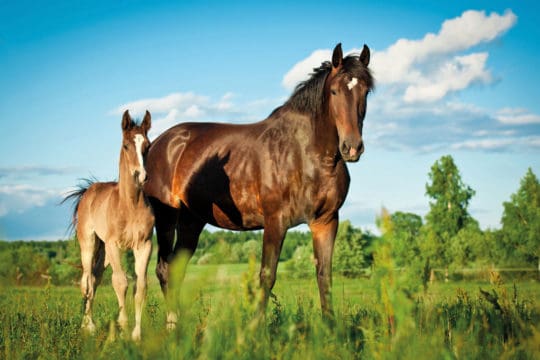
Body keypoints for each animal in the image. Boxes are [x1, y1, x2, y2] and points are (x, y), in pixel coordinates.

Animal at [65, 111, 155, 342]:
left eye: (147, 145)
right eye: (126, 145)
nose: (141, 176)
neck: (130, 205)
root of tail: (89, 190)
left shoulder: (144, 245)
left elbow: (140, 285)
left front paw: (136, 334)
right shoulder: (115, 244)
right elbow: (120, 282)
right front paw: (122, 328)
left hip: (104, 251)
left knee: (96, 278)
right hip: (90, 244)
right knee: (87, 280)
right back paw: (88, 326)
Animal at [143, 43, 372, 324]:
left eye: (366, 90)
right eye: (334, 91)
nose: (352, 147)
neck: (306, 154)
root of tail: (159, 143)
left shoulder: (326, 221)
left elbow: (324, 277)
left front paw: (330, 328)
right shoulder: (276, 221)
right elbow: (267, 276)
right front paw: (256, 328)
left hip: (191, 221)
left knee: (176, 269)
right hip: (166, 217)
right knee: (164, 269)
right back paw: (173, 324)